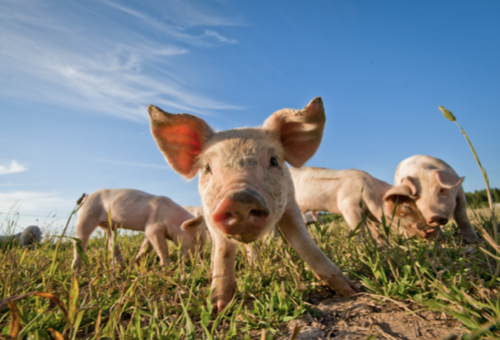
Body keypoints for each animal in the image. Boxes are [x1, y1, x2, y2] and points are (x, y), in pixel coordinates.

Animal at [70, 189, 205, 270]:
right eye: (195, 238)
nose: (200, 260)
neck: (172, 218)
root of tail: (86, 196)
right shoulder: (153, 225)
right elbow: (162, 247)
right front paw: (167, 265)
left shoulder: (151, 231)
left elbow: (147, 245)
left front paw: (136, 262)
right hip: (87, 213)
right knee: (80, 239)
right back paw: (75, 269)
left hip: (106, 225)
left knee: (111, 241)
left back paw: (122, 265)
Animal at [148, 95, 360, 310]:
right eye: (207, 167)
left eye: (273, 160)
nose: (239, 199)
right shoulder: (209, 214)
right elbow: (222, 252)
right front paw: (218, 307)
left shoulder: (291, 203)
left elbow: (305, 243)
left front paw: (351, 291)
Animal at [292, 167, 434, 239]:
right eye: (406, 207)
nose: (431, 231)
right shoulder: (348, 206)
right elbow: (359, 231)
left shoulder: (366, 213)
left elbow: (377, 233)